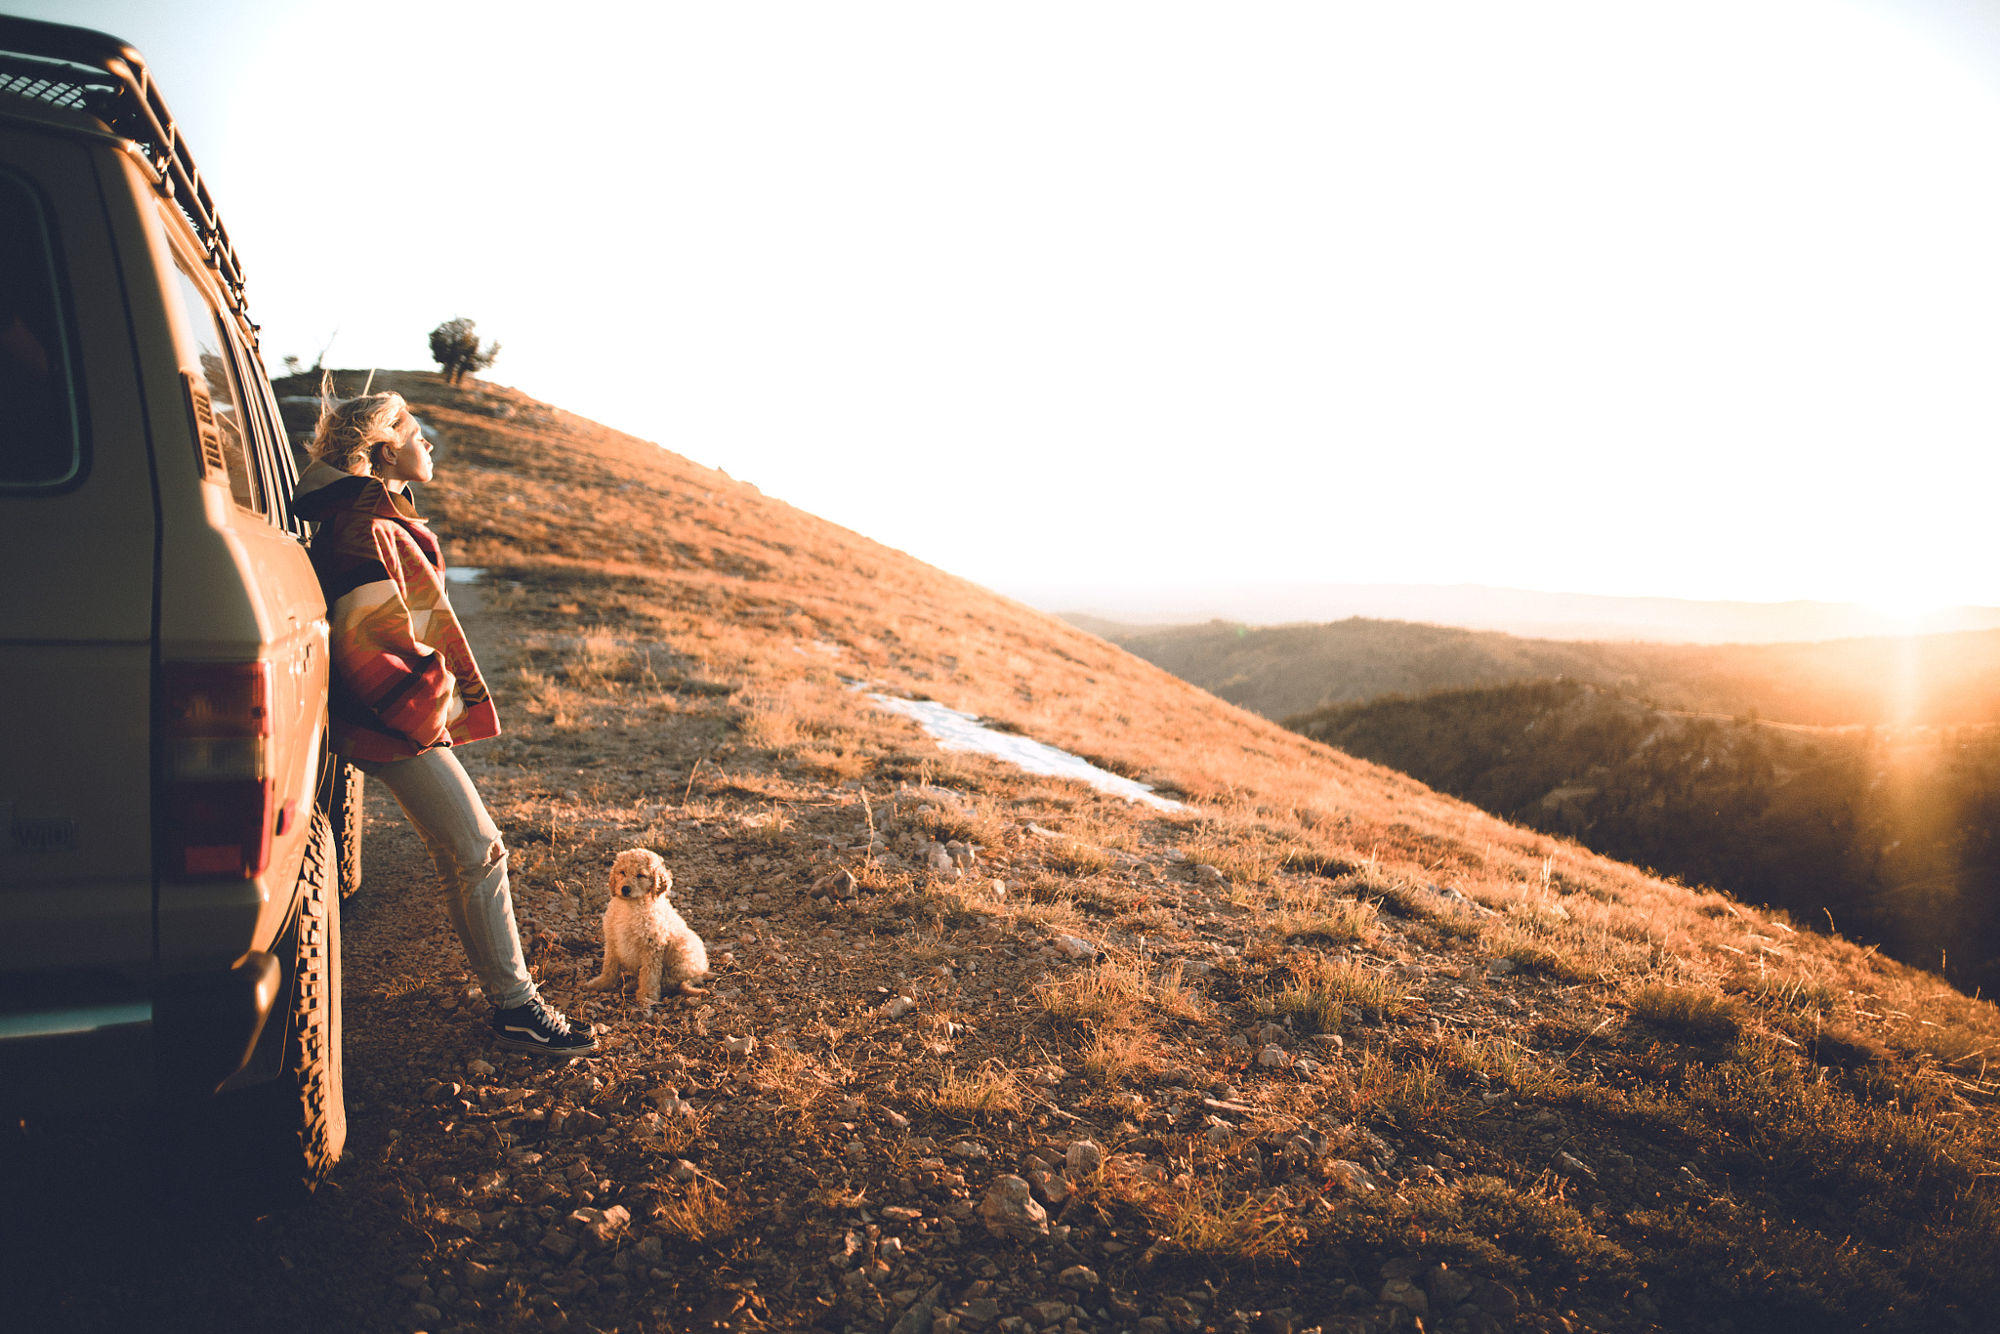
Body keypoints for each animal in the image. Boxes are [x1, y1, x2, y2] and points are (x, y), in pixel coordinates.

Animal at [584, 852, 708, 1008]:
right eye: (622, 872)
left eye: (641, 875)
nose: (625, 889)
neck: (630, 906)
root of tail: (702, 971)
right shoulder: (612, 941)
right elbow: (609, 967)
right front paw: (601, 983)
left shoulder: (652, 947)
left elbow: (649, 975)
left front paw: (646, 998)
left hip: (683, 950)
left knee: (671, 981)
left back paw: (633, 986)